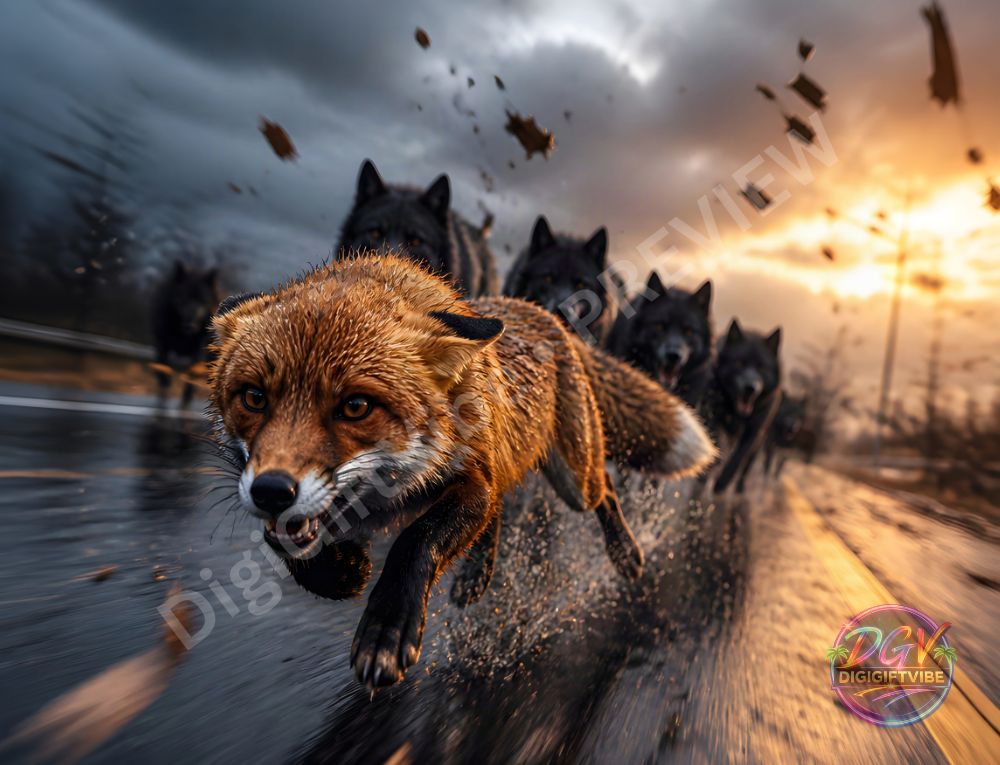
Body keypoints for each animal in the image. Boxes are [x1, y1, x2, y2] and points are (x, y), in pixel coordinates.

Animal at [151, 261, 220, 405]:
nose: (190, 325)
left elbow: (192, 373)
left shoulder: (199, 350)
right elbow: (162, 362)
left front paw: (187, 396)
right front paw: (164, 384)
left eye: (201, 301)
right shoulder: (162, 342)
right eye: (184, 298)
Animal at [701, 319, 782, 494]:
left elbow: (737, 458)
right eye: (739, 363)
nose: (750, 388)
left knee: (745, 467)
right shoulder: (712, 414)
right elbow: (716, 439)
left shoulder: (753, 432)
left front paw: (722, 483)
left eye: (762, 368)